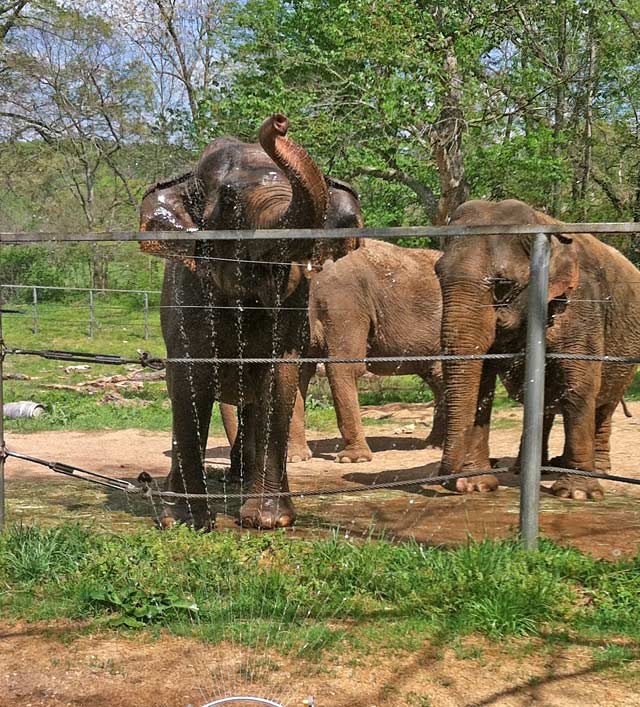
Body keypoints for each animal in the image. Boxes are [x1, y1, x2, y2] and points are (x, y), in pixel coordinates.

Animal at [436, 196, 640, 500]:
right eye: (437, 274)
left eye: (503, 284)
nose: (455, 482)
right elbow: (482, 382)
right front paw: (478, 485)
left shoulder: (583, 302)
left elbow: (579, 383)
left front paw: (576, 494)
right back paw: (530, 469)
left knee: (604, 404)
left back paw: (598, 471)